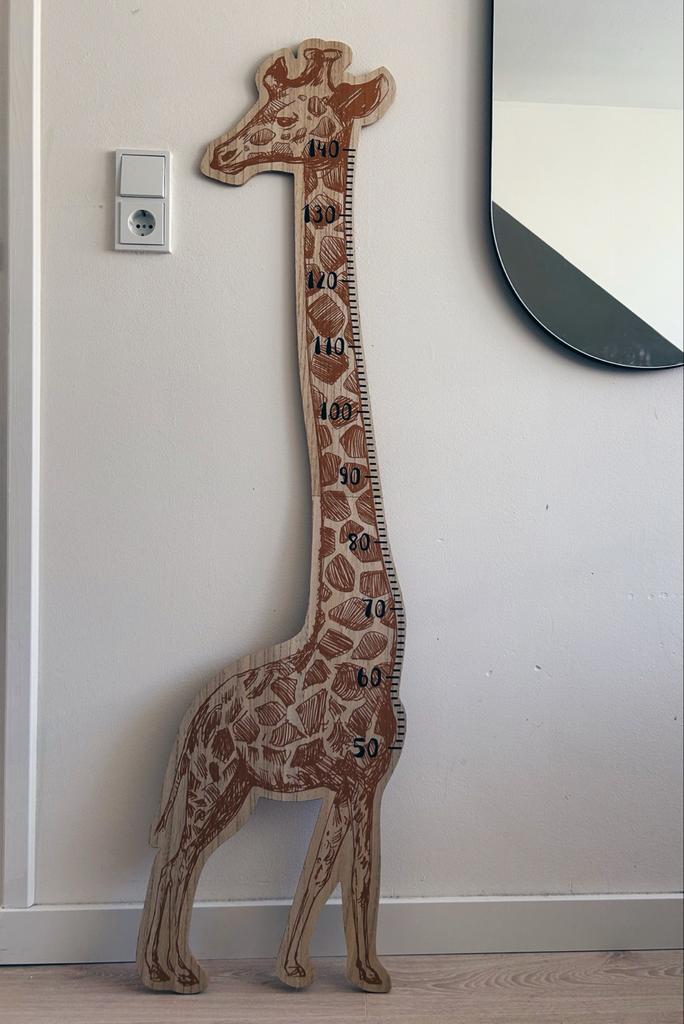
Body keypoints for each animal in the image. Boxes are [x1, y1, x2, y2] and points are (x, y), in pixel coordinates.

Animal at [137, 39, 405, 996]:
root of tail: (194, 719)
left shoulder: (364, 779)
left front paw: (332, 976)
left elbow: (342, 871)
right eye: (258, 106)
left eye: (287, 118)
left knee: (183, 857)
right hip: (221, 779)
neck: (371, 638)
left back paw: (180, 969)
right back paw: (171, 976)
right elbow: (347, 874)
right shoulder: (357, 776)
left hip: (234, 788)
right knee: (177, 856)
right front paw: (337, 979)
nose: (218, 155)